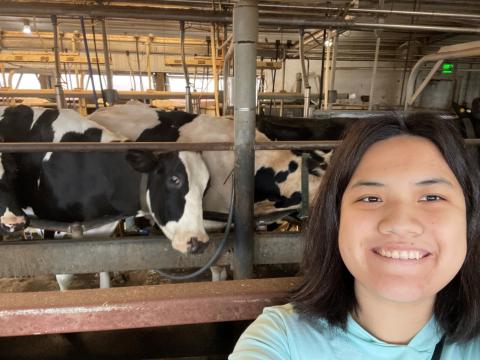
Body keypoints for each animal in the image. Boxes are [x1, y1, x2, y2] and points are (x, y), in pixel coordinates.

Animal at [0, 106, 210, 290]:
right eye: (174, 179)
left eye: (206, 184)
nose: (199, 242)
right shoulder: (53, 227)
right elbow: (64, 276)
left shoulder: (101, 230)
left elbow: (103, 265)